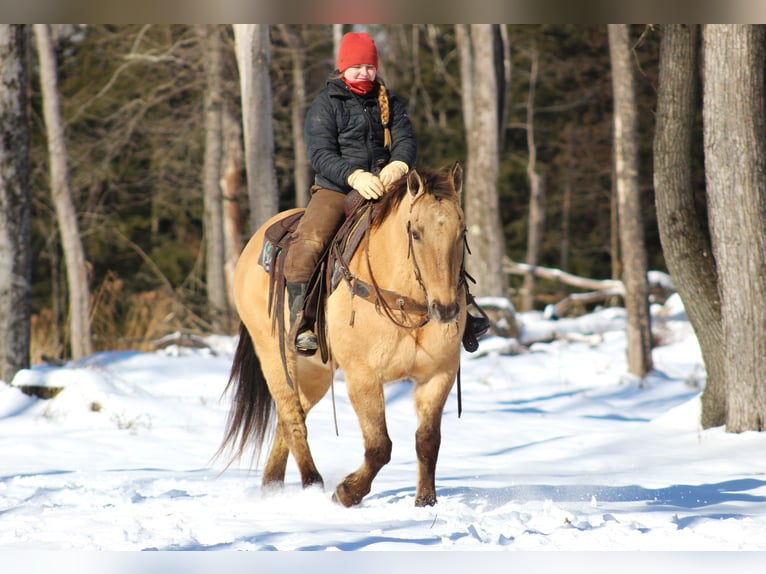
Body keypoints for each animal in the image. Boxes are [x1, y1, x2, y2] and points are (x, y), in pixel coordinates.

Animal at [220, 163, 468, 508]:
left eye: (463, 232)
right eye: (416, 233)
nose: (445, 309)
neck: (405, 301)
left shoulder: (438, 374)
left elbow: (428, 439)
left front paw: (426, 501)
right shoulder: (363, 377)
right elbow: (379, 446)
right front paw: (347, 492)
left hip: (315, 373)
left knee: (290, 416)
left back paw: (272, 486)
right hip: (274, 357)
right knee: (292, 418)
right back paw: (312, 484)